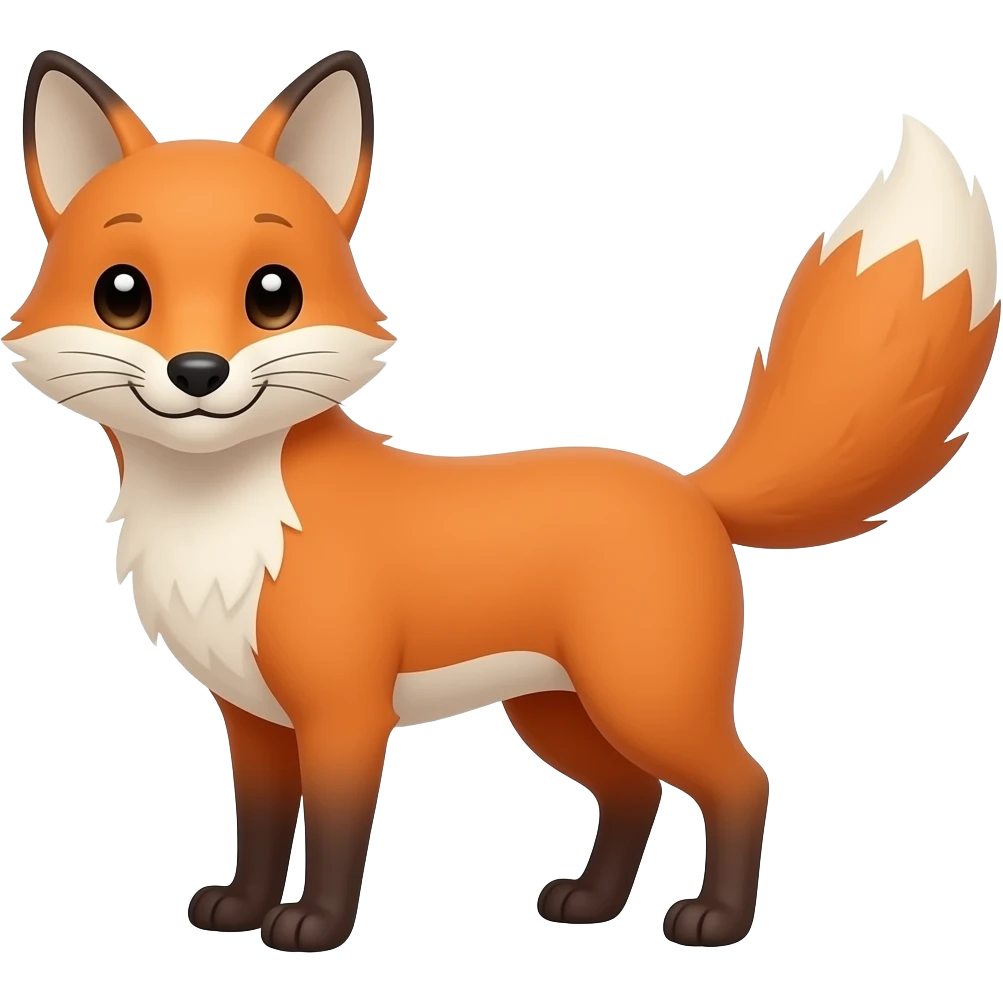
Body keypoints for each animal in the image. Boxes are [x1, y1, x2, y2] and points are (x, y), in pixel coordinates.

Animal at [7, 48, 1000, 955]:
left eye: (272, 294)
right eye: (122, 293)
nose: (198, 371)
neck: (223, 521)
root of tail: (688, 488)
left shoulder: (343, 710)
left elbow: (332, 831)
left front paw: (313, 927)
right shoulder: (250, 715)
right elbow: (258, 826)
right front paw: (241, 909)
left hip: (644, 696)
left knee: (743, 780)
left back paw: (714, 921)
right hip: (558, 711)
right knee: (633, 791)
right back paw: (592, 904)